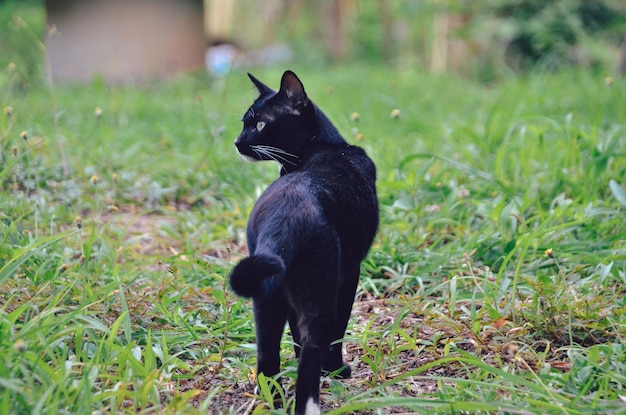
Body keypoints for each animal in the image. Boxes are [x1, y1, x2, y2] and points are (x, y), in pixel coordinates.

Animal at [228, 70, 376, 415]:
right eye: (245, 123)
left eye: (259, 124)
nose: (237, 142)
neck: (325, 147)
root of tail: (282, 219)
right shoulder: (350, 273)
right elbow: (339, 330)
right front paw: (337, 370)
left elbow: (293, 338)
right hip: (319, 285)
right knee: (313, 344)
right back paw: (308, 402)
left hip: (267, 294)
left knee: (267, 357)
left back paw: (275, 403)